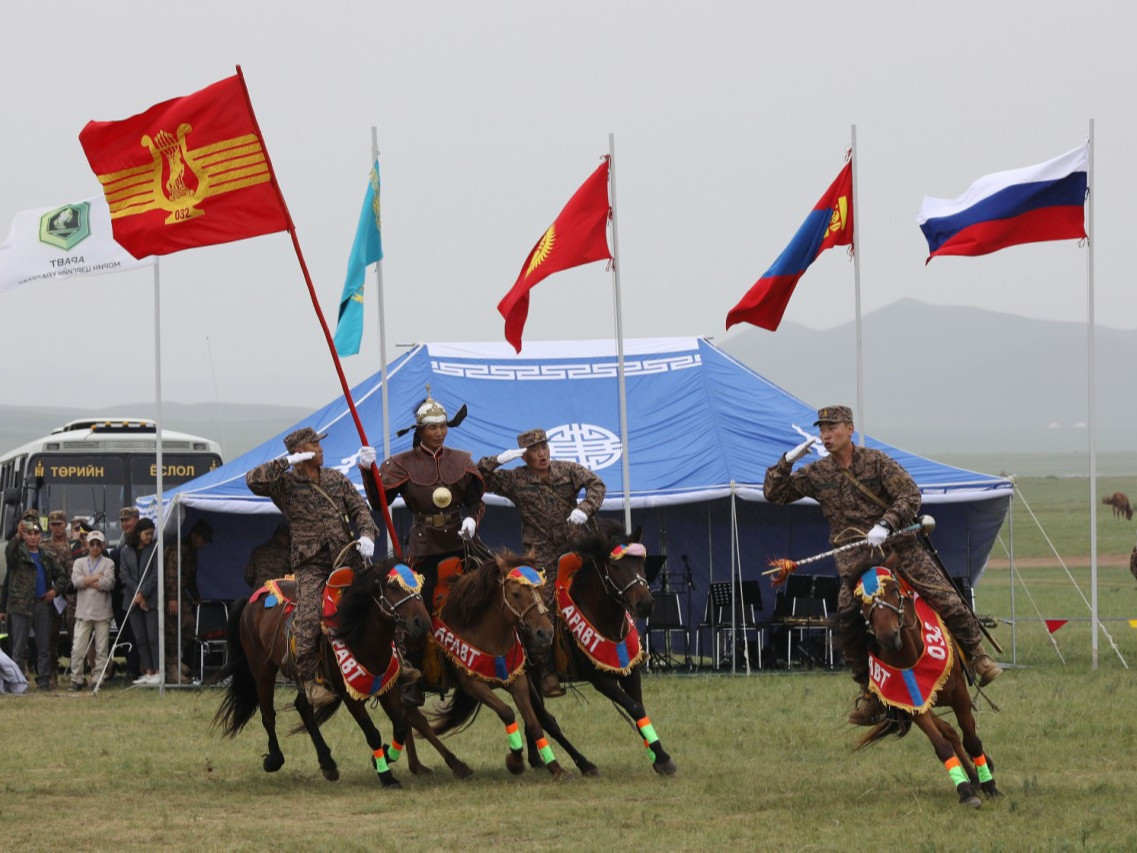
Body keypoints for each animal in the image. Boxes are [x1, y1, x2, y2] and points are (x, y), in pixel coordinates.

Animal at [212, 557, 429, 791]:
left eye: (418, 587)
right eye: (392, 586)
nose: (423, 623)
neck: (359, 634)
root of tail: (254, 598)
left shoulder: (387, 685)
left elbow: (400, 725)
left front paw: (383, 758)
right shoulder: (350, 696)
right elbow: (373, 733)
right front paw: (386, 775)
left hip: (304, 678)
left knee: (302, 707)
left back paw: (327, 763)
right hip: (262, 669)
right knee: (268, 713)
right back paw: (274, 759)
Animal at [427, 555, 568, 782]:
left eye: (539, 589)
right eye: (516, 593)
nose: (545, 633)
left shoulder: (517, 680)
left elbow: (534, 724)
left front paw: (555, 767)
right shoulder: (474, 685)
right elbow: (507, 712)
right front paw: (515, 761)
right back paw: (456, 766)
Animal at [523, 525, 673, 777]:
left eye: (641, 562)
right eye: (615, 566)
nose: (645, 604)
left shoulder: (631, 671)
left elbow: (639, 707)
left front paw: (656, 756)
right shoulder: (599, 679)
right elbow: (634, 707)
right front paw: (662, 757)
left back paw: (536, 761)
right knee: (544, 719)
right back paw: (583, 764)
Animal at [855, 568, 1000, 809]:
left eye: (894, 590)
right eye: (862, 601)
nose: (888, 637)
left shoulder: (960, 695)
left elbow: (972, 740)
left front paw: (990, 785)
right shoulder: (913, 703)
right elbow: (942, 744)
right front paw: (965, 790)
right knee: (950, 733)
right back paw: (973, 776)